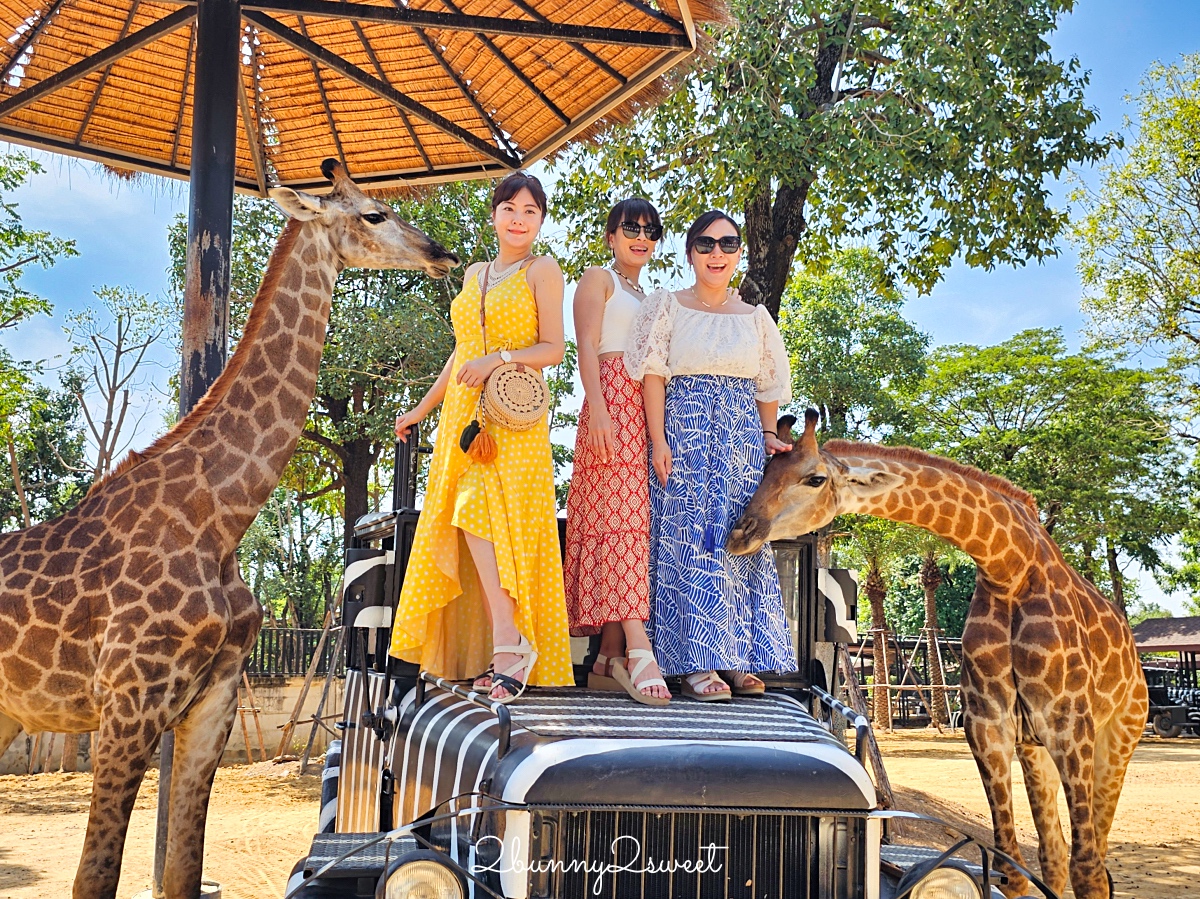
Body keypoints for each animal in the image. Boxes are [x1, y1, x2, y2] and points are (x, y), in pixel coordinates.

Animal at [0, 160, 458, 897]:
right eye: (374, 214)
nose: (442, 253)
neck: (219, 516)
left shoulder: (211, 700)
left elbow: (183, 871)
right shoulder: (128, 706)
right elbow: (95, 877)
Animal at [724, 408, 1147, 897]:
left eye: (814, 479)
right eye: (765, 472)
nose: (738, 534)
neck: (1010, 567)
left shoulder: (1070, 727)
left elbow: (1088, 870)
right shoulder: (988, 727)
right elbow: (1011, 866)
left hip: (1118, 735)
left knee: (1094, 855)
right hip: (1035, 749)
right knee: (1053, 853)